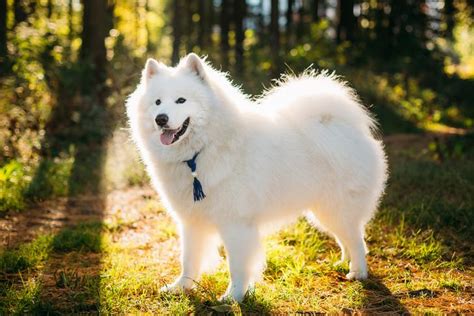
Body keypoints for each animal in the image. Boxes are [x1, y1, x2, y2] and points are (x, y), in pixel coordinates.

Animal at [127, 53, 388, 302]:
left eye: (181, 100)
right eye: (157, 102)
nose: (160, 118)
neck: (200, 153)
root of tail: (343, 125)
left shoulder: (236, 224)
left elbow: (237, 266)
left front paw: (234, 297)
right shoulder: (192, 221)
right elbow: (189, 260)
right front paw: (180, 288)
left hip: (336, 208)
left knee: (357, 240)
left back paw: (358, 272)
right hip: (323, 212)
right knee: (345, 239)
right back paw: (343, 262)